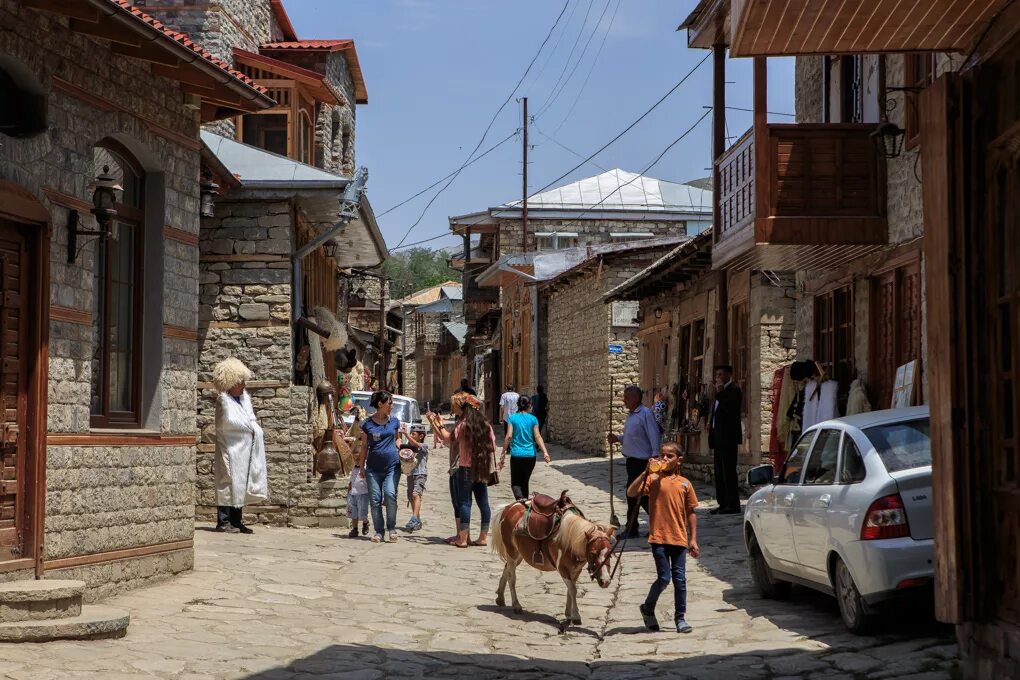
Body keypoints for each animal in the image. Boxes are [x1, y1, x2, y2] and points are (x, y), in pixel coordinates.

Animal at [491, 491, 616, 632]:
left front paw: (568, 614)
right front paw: (576, 616)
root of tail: (508, 507)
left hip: (518, 555)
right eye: (593, 553)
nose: (605, 581)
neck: (570, 540)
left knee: (506, 569)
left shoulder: (576, 570)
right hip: (512, 552)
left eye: (610, 554)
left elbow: (570, 590)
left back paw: (500, 598)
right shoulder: (563, 569)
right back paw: (516, 606)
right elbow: (573, 589)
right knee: (512, 578)